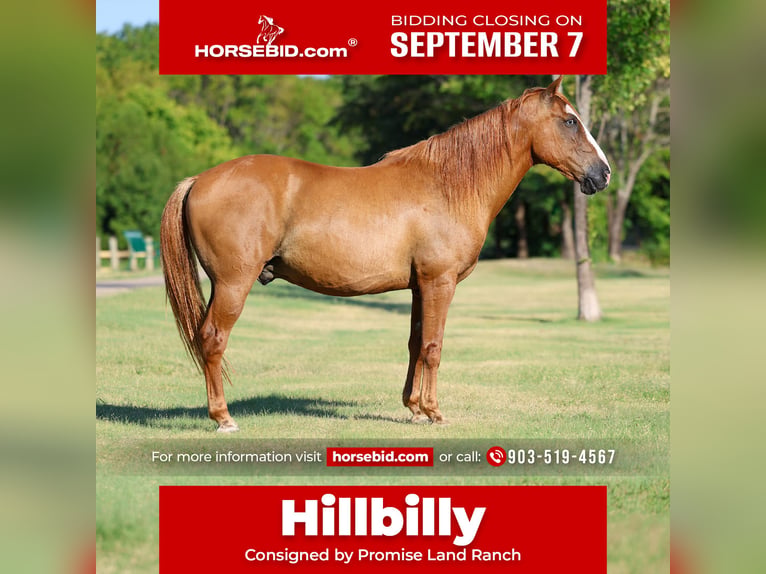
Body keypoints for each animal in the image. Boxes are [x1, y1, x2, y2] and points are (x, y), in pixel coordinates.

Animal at [160, 76, 611, 432]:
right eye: (570, 121)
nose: (603, 173)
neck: (448, 184)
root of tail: (199, 179)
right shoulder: (439, 282)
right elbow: (434, 346)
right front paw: (434, 412)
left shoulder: (418, 286)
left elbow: (415, 342)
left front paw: (413, 408)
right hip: (233, 284)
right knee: (213, 339)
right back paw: (223, 418)